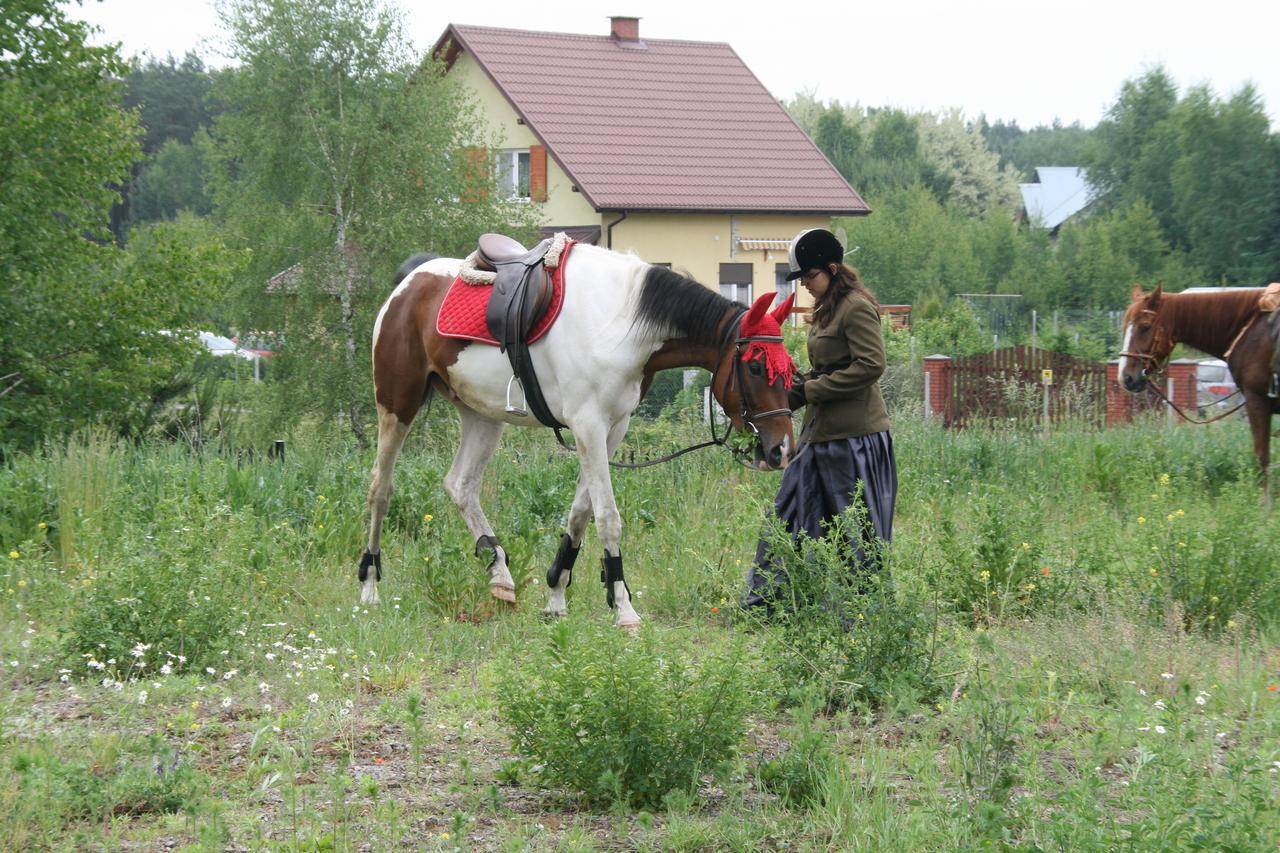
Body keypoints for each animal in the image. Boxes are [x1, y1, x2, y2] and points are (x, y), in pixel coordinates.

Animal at [360, 239, 793, 625]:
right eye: (756, 367)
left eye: (788, 368)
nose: (781, 451)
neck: (618, 323)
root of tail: (411, 280)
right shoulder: (588, 424)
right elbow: (607, 516)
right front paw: (623, 607)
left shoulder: (612, 428)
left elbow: (581, 513)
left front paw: (556, 595)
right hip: (397, 403)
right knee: (381, 487)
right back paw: (370, 586)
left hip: (483, 415)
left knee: (461, 486)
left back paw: (500, 573)